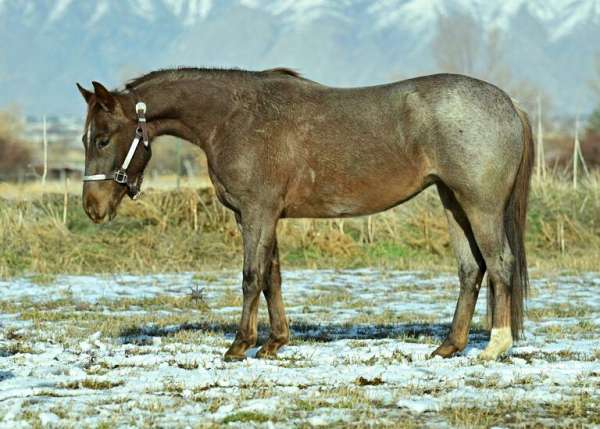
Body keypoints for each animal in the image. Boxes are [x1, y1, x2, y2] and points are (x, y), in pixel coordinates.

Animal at [77, 67, 532, 362]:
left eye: (102, 138)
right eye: (86, 139)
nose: (92, 208)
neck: (234, 117)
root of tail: (510, 104)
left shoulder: (257, 213)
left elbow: (251, 277)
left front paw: (240, 345)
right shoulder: (262, 216)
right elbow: (272, 277)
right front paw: (275, 341)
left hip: (480, 205)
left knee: (499, 263)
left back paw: (496, 346)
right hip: (452, 201)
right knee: (471, 270)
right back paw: (449, 346)